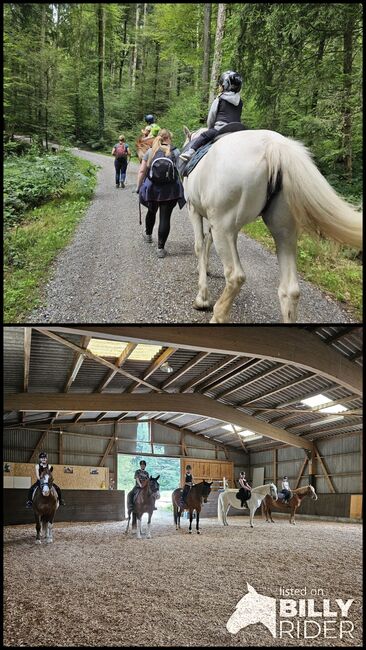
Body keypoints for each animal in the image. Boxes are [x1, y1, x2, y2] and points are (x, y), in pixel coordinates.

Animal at [182, 125, 362, 322]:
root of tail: (273, 145)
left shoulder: (193, 210)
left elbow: (200, 245)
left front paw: (202, 298)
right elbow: (207, 241)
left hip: (224, 227)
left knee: (235, 276)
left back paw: (218, 315)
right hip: (284, 231)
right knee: (291, 290)